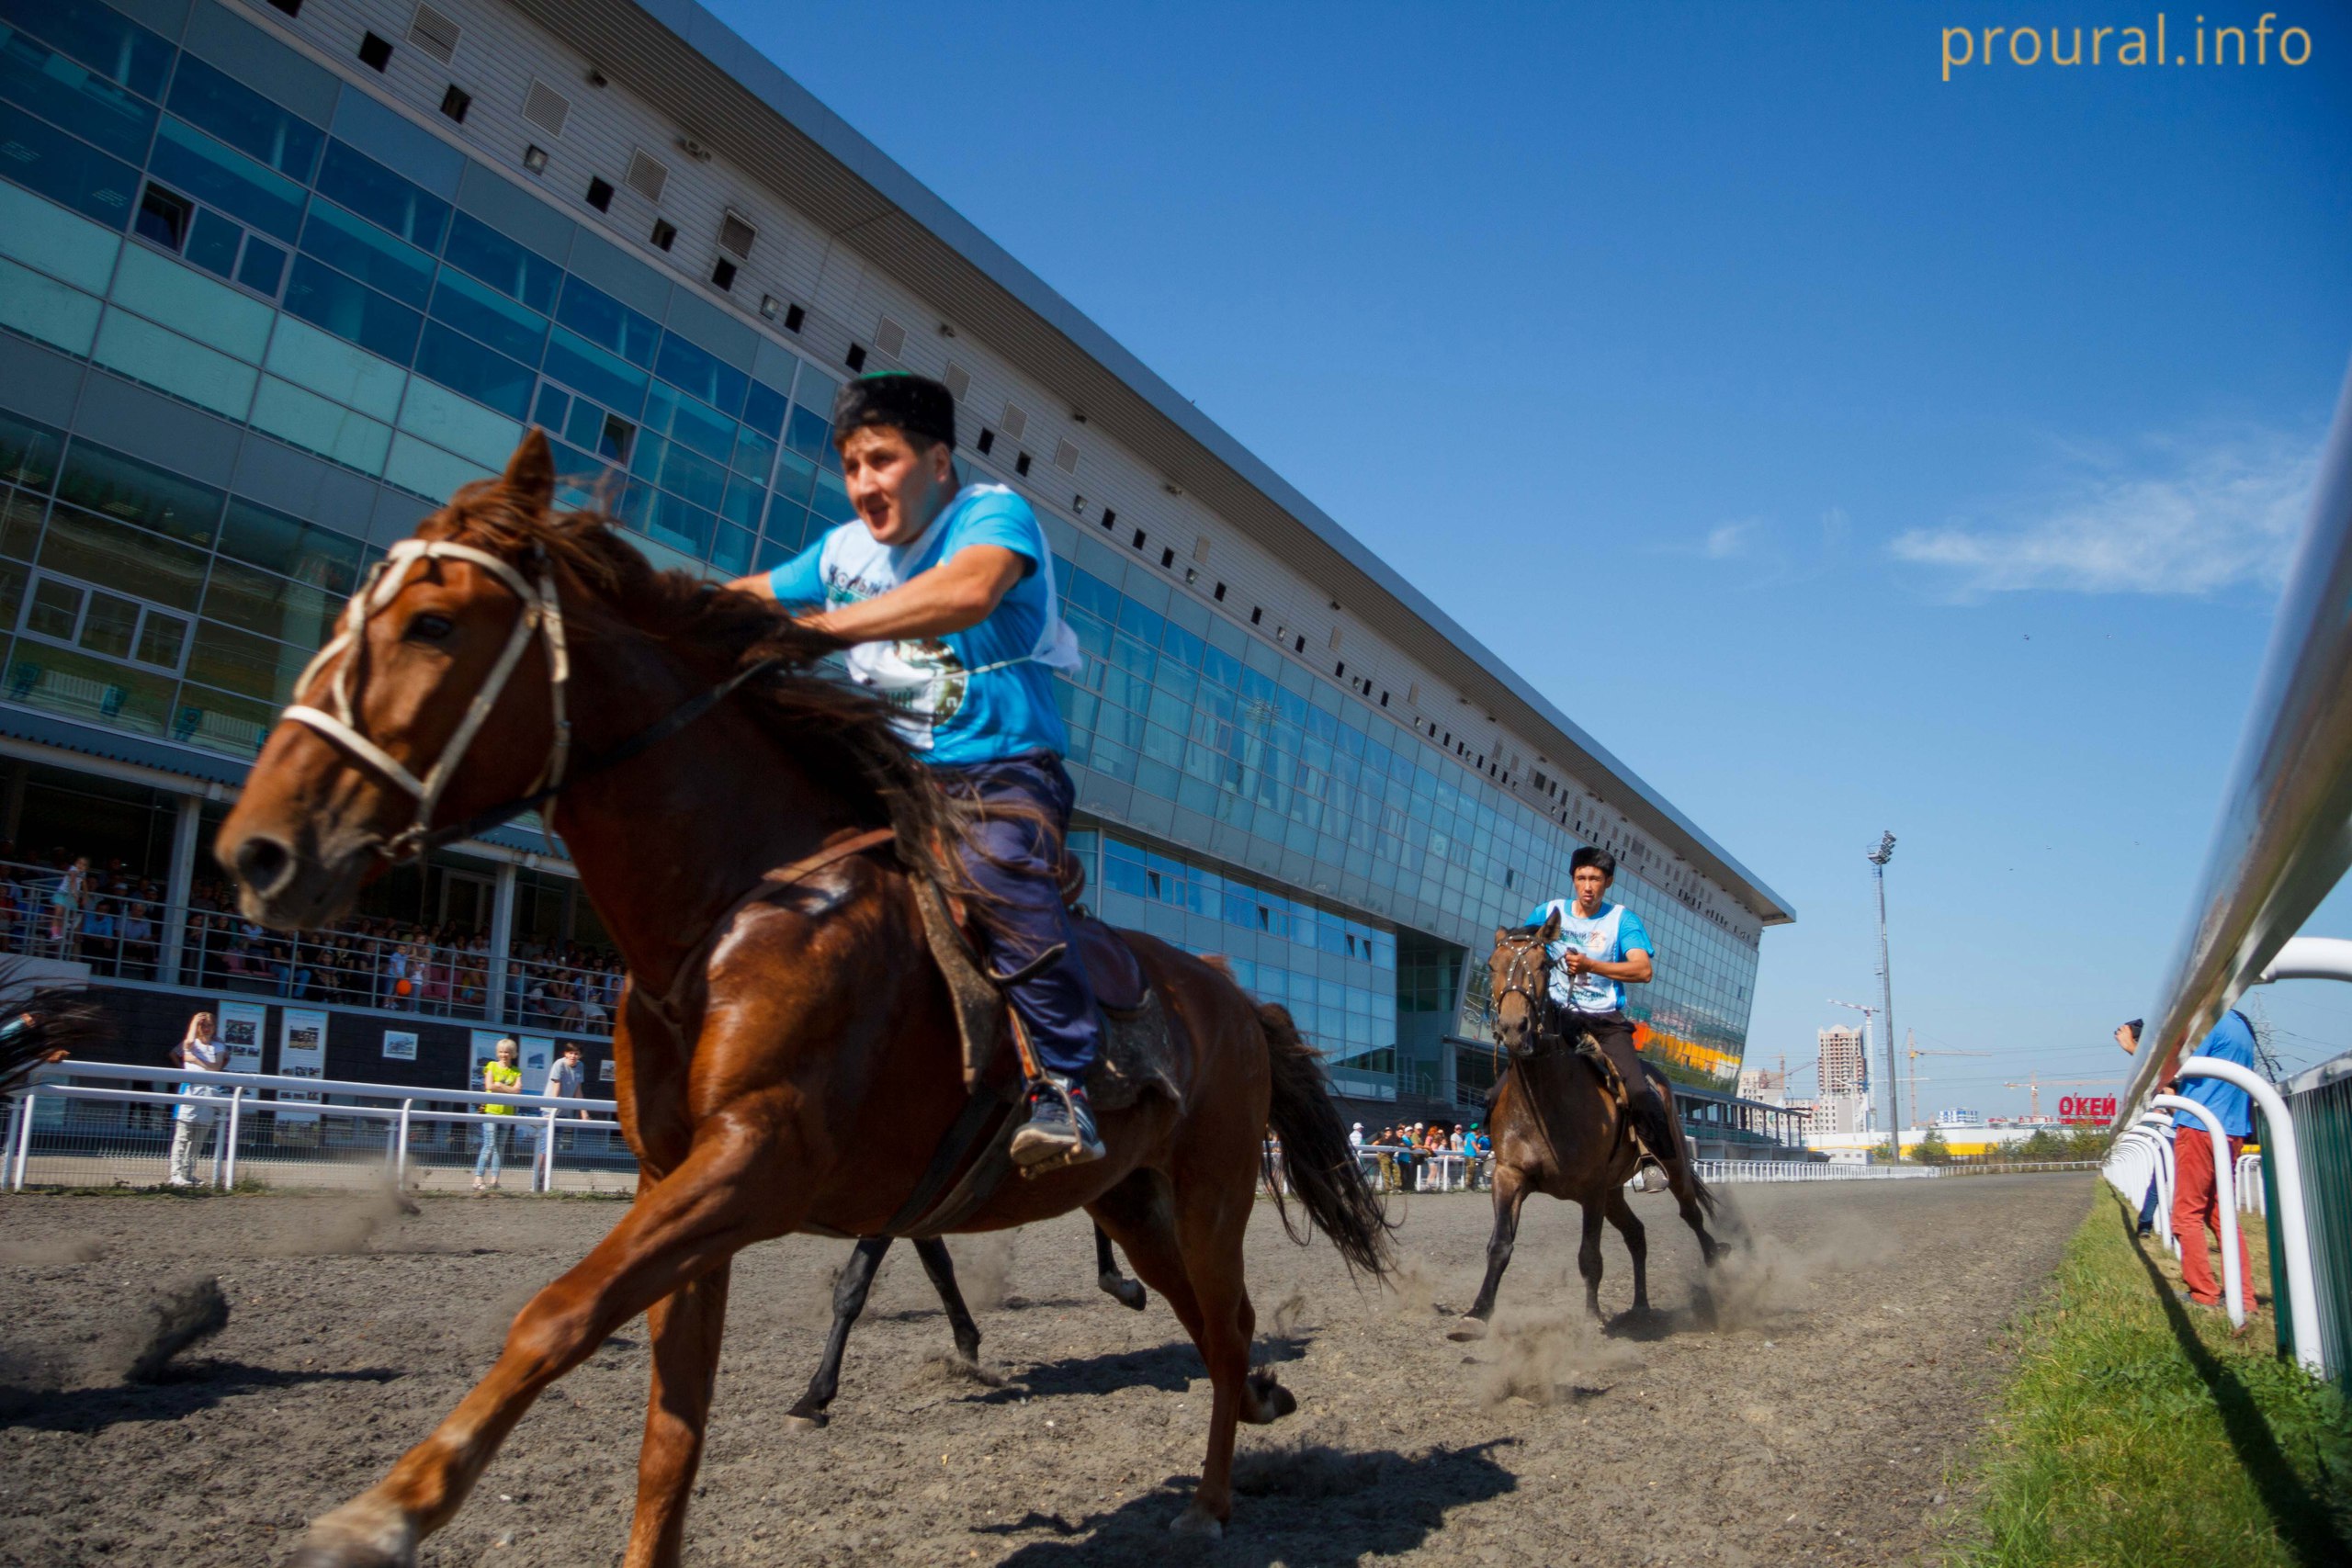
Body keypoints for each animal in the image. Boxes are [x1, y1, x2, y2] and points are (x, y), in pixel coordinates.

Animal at [216, 432, 1392, 1568]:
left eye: (433, 623)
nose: (260, 850)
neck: (735, 908)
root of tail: (1234, 996)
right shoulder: (679, 1177)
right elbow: (672, 1425)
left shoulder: (760, 1158)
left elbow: (558, 1315)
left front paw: (387, 1512)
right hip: (1133, 1202)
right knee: (1216, 1325)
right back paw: (1253, 1411)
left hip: (1209, 1192)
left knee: (1227, 1328)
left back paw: (1209, 1503)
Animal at [1467, 911, 1731, 1335]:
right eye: (1492, 965)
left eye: (1543, 966)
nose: (1514, 1028)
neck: (1549, 1100)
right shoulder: (1509, 1176)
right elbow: (1500, 1245)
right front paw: (1477, 1313)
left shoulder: (1590, 1188)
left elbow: (1589, 1255)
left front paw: (1591, 1318)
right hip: (1613, 1193)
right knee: (1637, 1234)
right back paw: (1640, 1307)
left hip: (1670, 1166)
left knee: (1690, 1214)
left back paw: (1714, 1264)